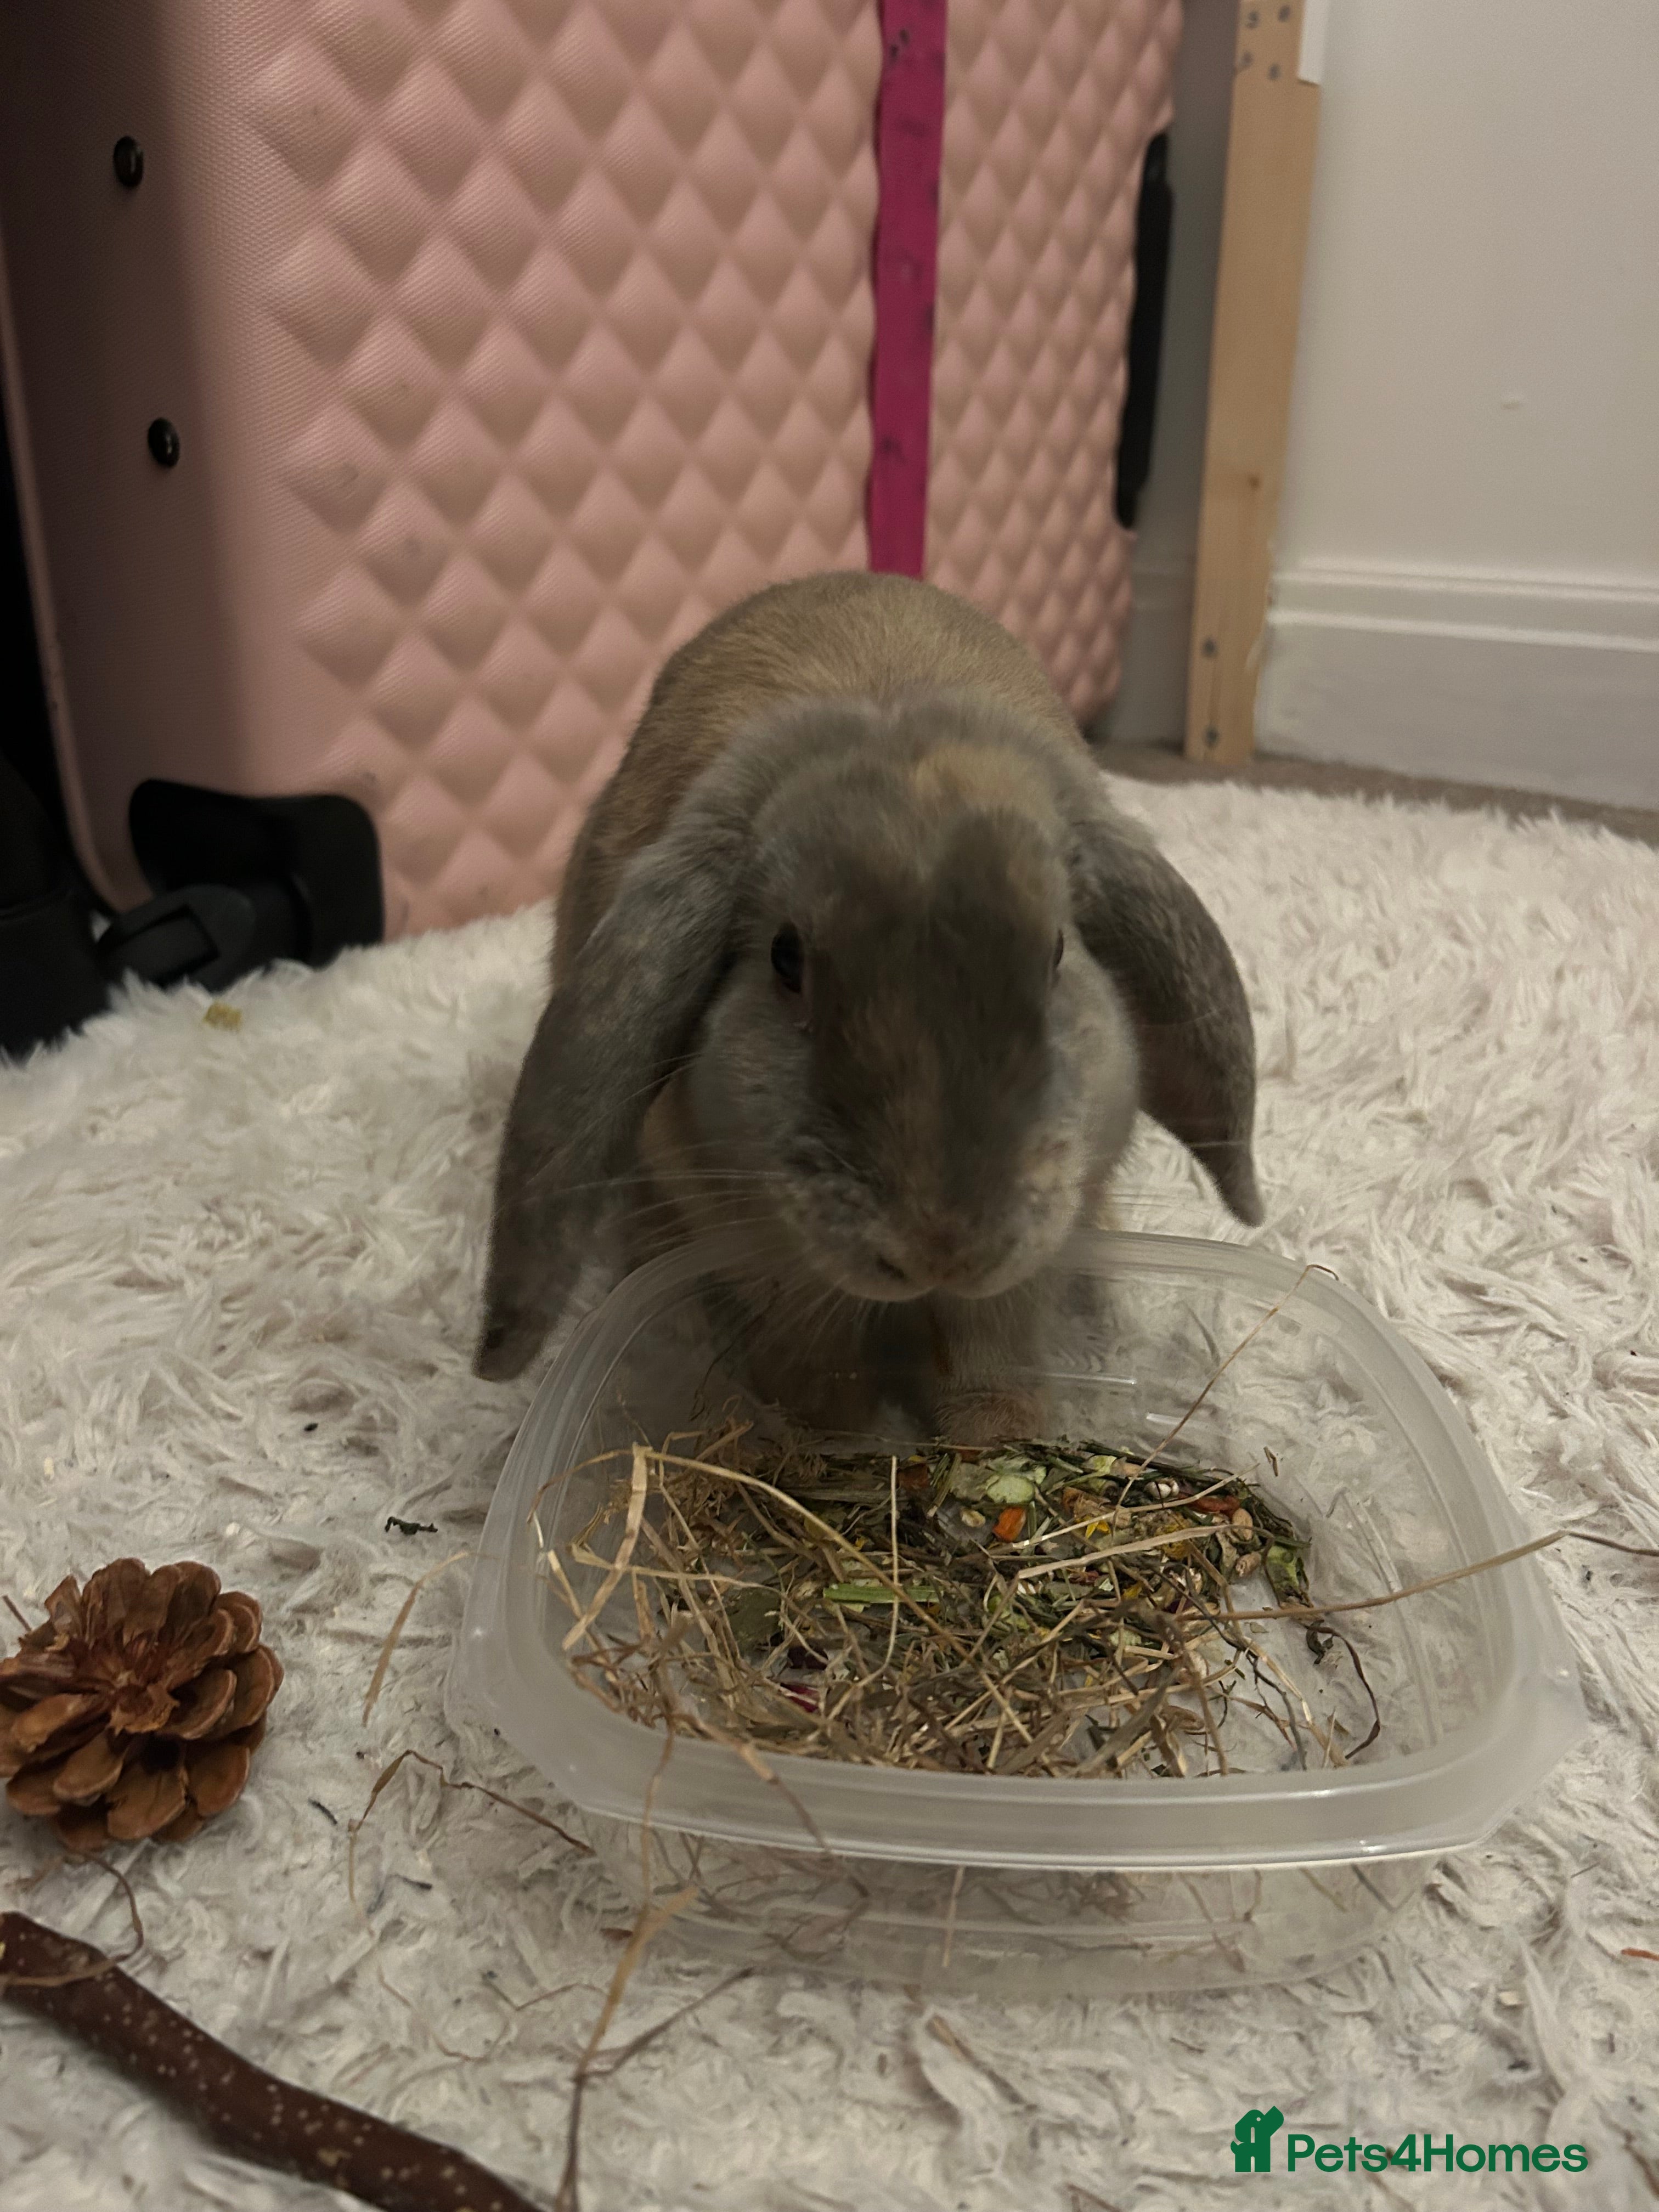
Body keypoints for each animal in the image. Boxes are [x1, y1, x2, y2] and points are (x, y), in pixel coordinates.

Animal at [474, 571, 1262, 1441]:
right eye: (786, 960)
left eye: (1058, 953)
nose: (942, 1244)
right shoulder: (758, 1243)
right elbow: (808, 1326)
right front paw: (828, 1415)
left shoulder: (1037, 1251)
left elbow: (991, 1335)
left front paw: (995, 1427)